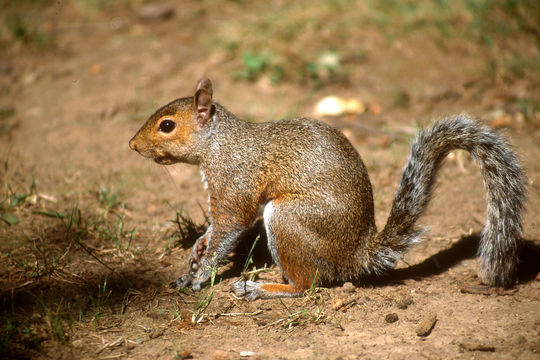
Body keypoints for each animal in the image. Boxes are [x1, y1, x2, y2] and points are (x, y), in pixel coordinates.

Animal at [129, 79, 524, 300]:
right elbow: (214, 230)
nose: (132, 145)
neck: (217, 143)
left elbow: (231, 225)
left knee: (308, 284)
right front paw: (196, 251)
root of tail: (356, 256)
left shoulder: (235, 183)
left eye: (167, 126)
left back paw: (261, 288)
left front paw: (201, 275)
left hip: (289, 220)